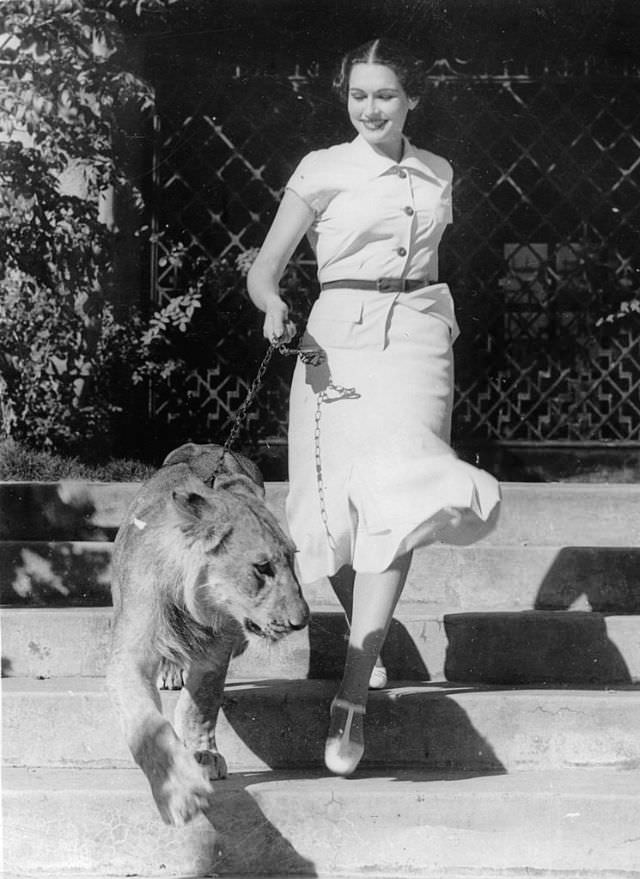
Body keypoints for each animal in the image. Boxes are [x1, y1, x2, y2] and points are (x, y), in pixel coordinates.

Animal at [105, 444, 310, 828]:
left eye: (292, 560)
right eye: (262, 568)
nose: (301, 621)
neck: (194, 600)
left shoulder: (216, 649)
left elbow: (200, 704)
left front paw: (203, 753)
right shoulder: (129, 654)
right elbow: (147, 724)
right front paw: (178, 790)